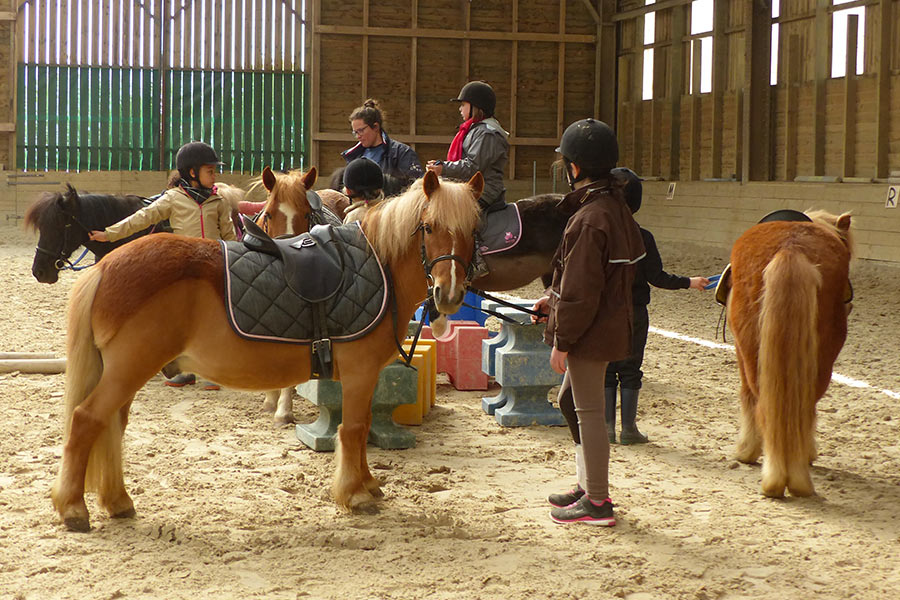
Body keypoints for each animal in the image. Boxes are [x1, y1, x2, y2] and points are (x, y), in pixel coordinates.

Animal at [51, 171, 482, 532]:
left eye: (473, 230)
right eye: (429, 226)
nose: (449, 294)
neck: (378, 266)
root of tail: (105, 268)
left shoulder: (368, 374)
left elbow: (358, 431)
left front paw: (367, 484)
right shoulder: (360, 372)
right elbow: (354, 429)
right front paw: (356, 494)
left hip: (126, 372)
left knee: (111, 425)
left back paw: (117, 501)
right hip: (128, 369)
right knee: (87, 420)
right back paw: (74, 508)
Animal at [728, 209, 856, 500]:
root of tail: (791, 247)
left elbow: (747, 398)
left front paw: (746, 451)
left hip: (752, 353)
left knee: (765, 405)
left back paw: (780, 479)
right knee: (803, 407)